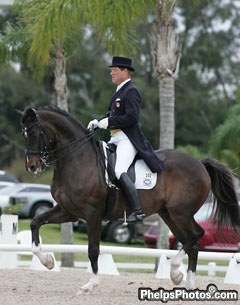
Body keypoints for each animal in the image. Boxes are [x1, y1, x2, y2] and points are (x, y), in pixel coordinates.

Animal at [20, 105, 240, 292]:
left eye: (33, 133)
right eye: (24, 134)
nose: (32, 166)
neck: (77, 160)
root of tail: (200, 164)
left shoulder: (92, 214)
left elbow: (93, 249)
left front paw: (91, 283)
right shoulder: (69, 211)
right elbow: (35, 222)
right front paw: (47, 261)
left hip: (181, 212)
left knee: (196, 235)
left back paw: (178, 272)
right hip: (169, 214)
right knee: (189, 240)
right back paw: (184, 281)